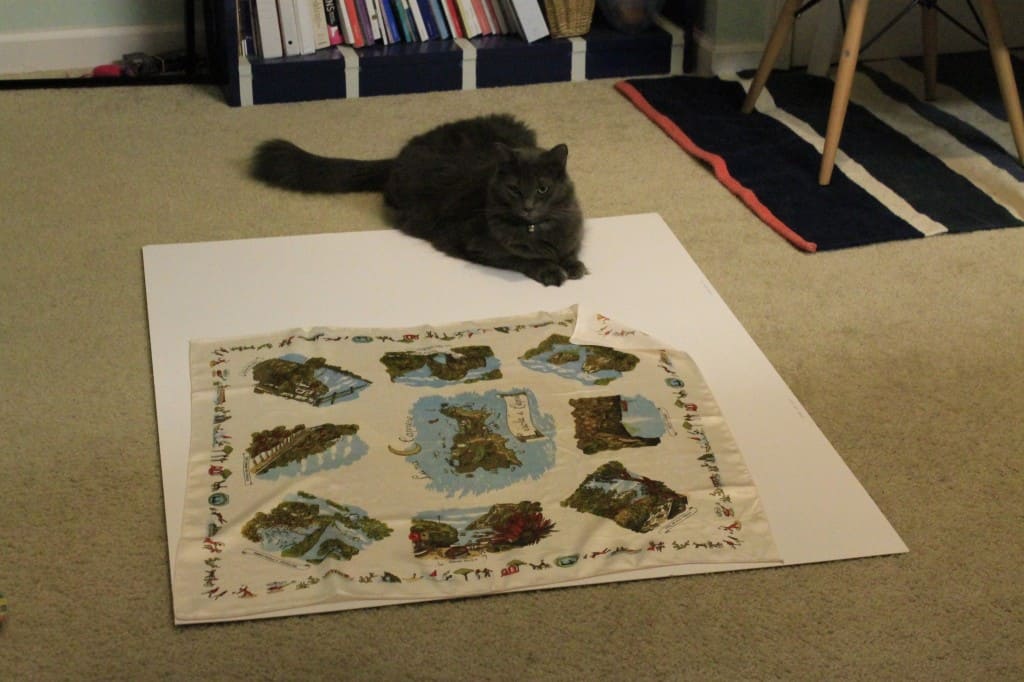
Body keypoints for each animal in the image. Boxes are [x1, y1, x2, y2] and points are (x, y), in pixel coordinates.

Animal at [251, 115, 589, 284]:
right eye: (515, 189)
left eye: (542, 189)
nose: (528, 206)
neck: (537, 230)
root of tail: (399, 155)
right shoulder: (473, 241)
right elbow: (521, 258)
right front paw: (550, 270)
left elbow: (569, 248)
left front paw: (572, 265)